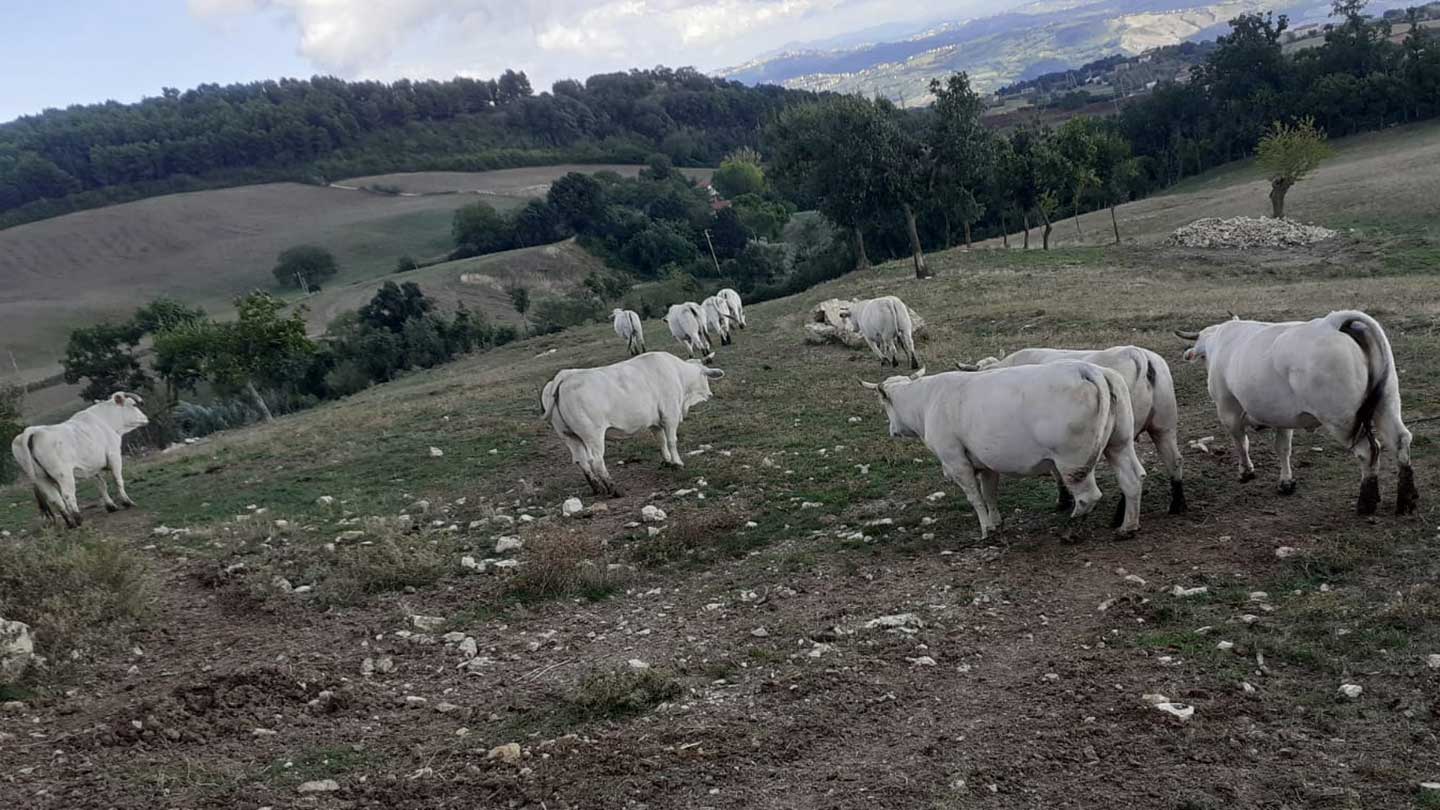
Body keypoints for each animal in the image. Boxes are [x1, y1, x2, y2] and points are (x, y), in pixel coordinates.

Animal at [9, 389, 149, 527]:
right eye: (134, 405)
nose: (146, 418)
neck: (105, 421)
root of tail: (34, 431)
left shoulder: (93, 466)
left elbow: (101, 485)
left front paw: (111, 506)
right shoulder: (114, 456)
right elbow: (118, 480)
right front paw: (127, 502)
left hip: (40, 478)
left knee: (55, 499)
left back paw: (70, 522)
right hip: (64, 475)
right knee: (67, 495)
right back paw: (78, 519)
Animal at [541, 354, 725, 498]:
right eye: (705, 377)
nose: (710, 394)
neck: (677, 372)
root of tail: (565, 376)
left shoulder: (655, 422)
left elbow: (661, 440)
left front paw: (667, 461)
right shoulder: (670, 415)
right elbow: (672, 440)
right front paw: (678, 463)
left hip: (569, 436)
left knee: (581, 460)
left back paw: (597, 488)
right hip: (592, 435)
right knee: (597, 461)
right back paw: (614, 489)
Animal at [864, 364, 1146, 536]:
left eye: (883, 403)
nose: (892, 430)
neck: (926, 400)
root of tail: (1090, 371)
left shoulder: (956, 461)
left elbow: (976, 498)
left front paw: (986, 529)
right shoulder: (986, 462)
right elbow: (990, 494)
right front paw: (996, 522)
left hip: (1072, 460)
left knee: (1088, 497)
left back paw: (1071, 526)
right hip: (1119, 443)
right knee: (1131, 480)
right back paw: (1128, 527)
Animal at [961, 343, 1186, 513]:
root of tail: (1138, 354)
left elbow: (1056, 472)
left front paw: (1063, 500)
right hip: (1163, 428)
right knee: (1173, 460)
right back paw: (1177, 505)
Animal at [1180, 308, 1416, 510]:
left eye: (1203, 357)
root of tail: (1332, 322)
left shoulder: (1229, 412)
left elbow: (1241, 443)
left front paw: (1246, 472)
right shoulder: (1282, 417)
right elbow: (1283, 448)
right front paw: (1286, 482)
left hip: (1342, 420)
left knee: (1367, 451)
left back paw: (1366, 503)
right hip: (1386, 405)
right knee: (1400, 441)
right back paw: (1407, 499)